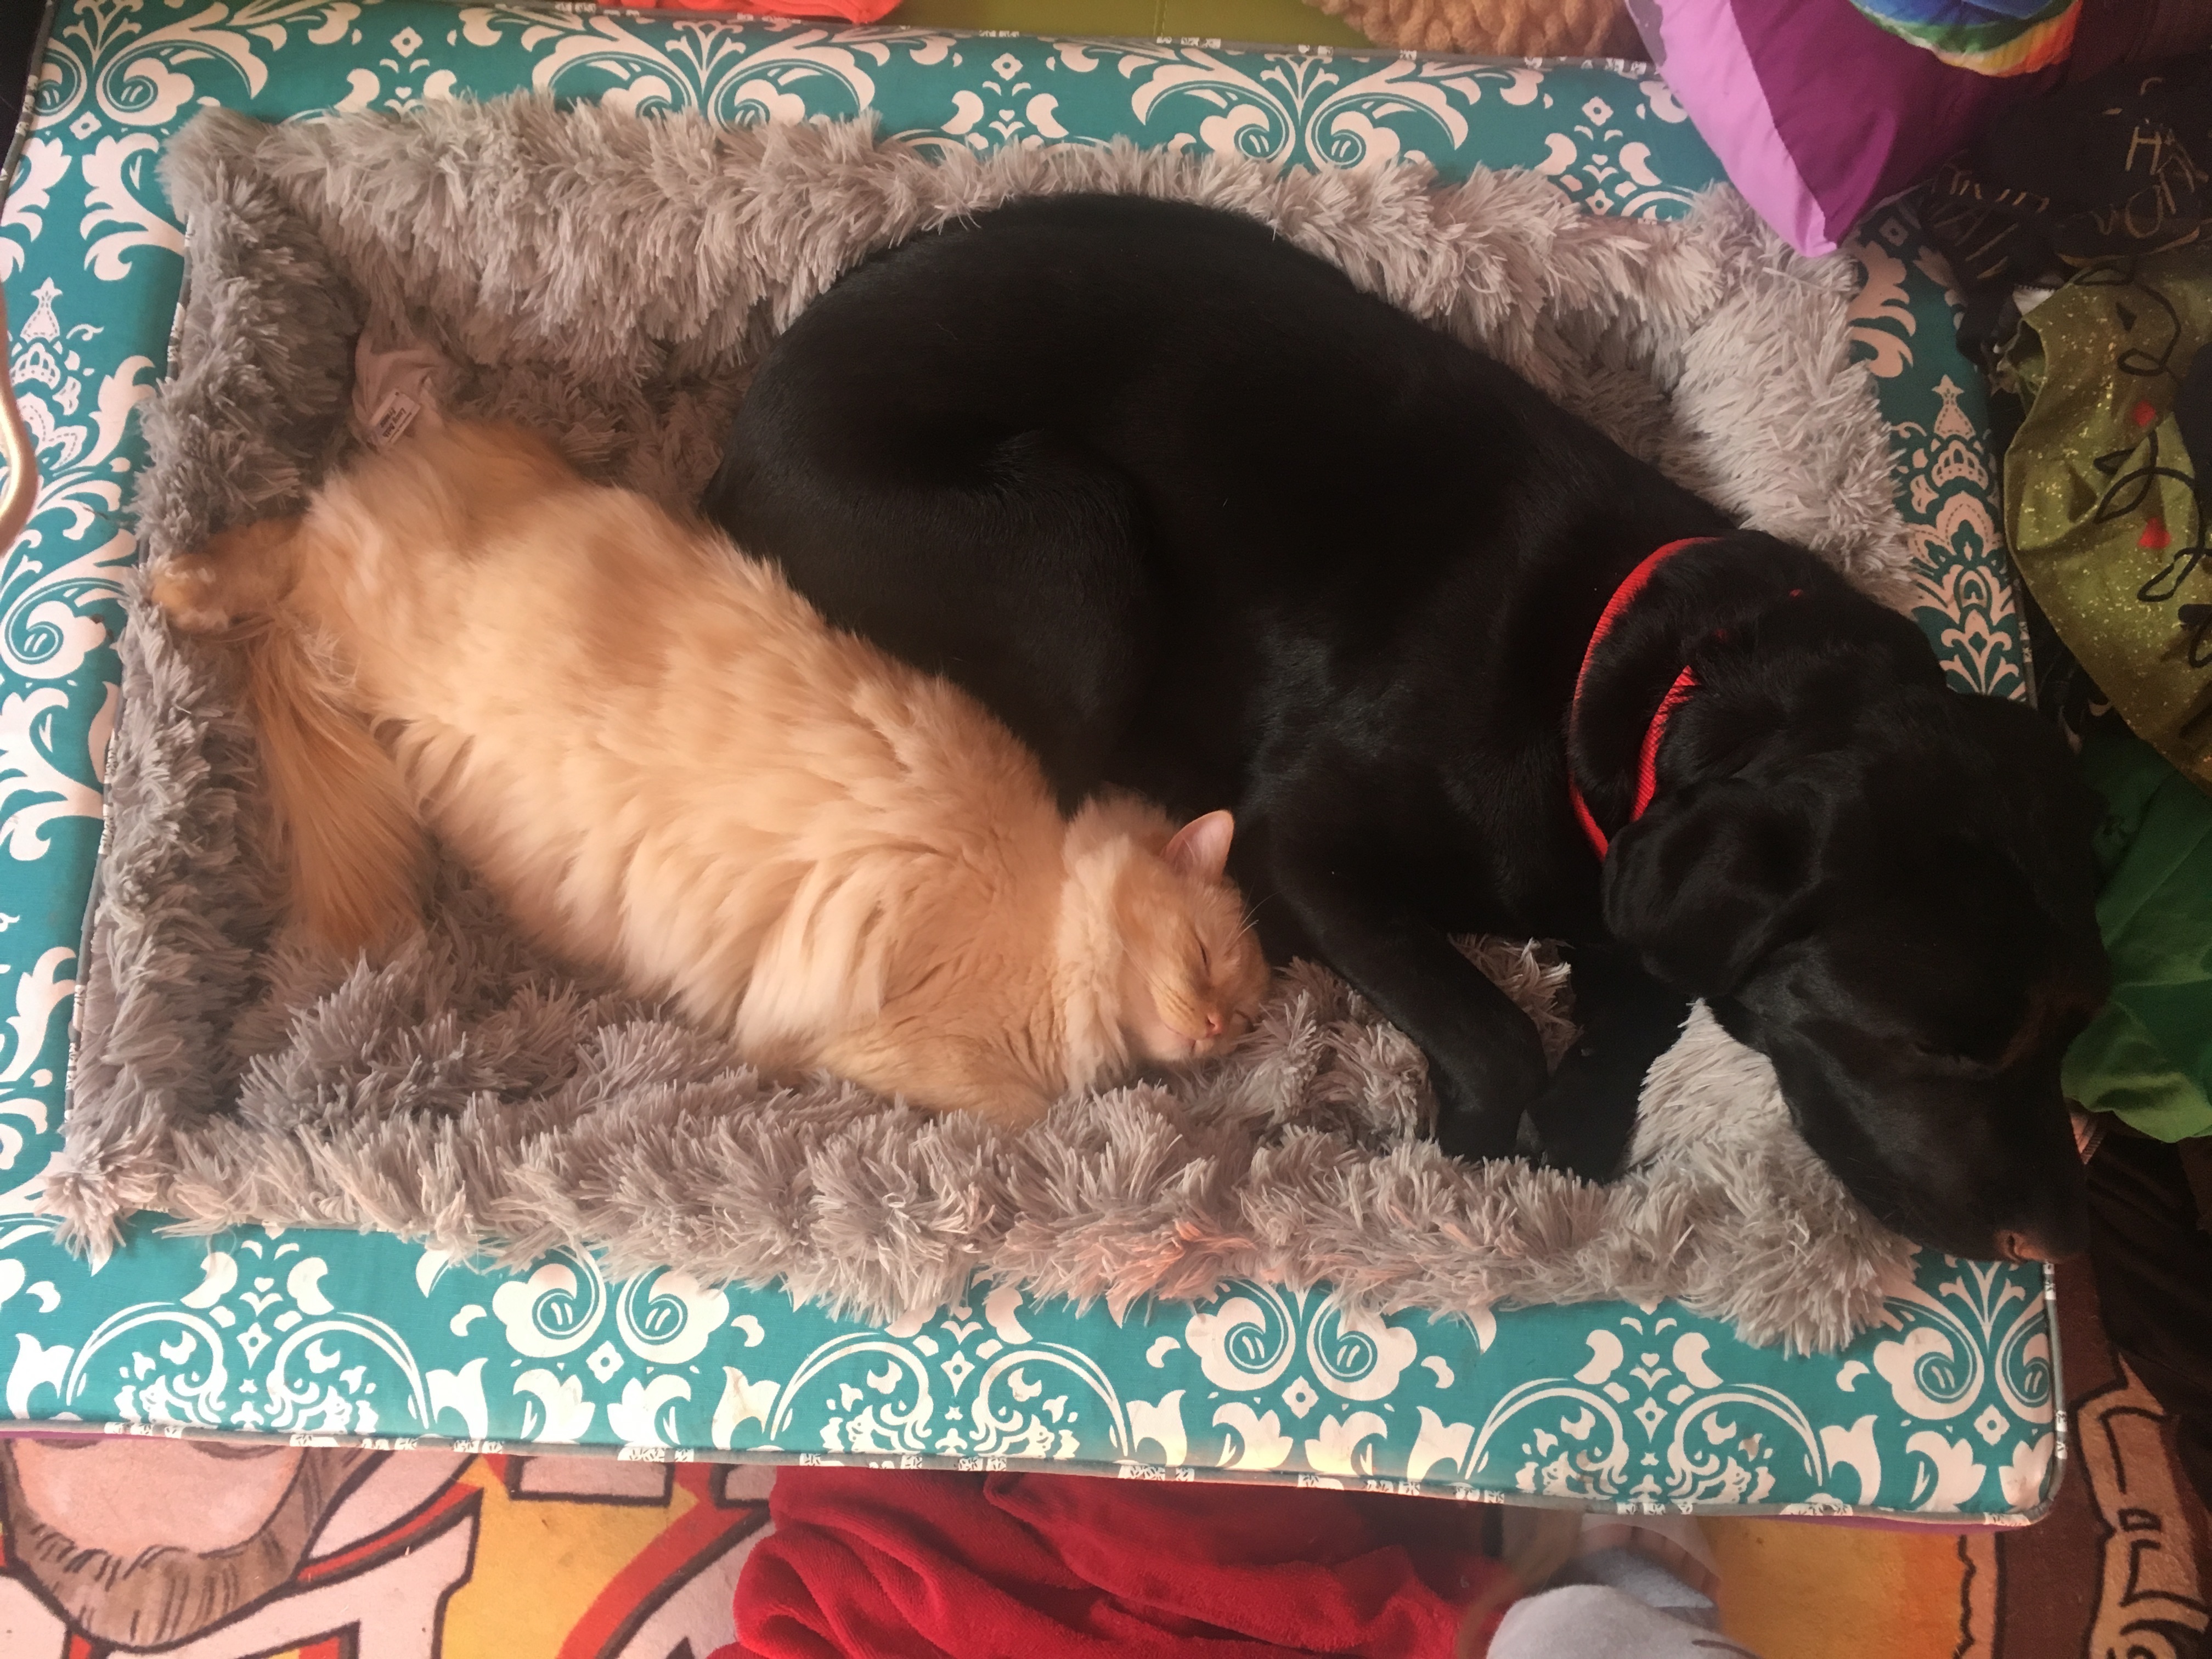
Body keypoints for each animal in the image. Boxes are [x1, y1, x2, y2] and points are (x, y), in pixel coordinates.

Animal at [156, 422, 1274, 1141]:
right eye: (1205, 957)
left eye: (1247, 1012)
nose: (1220, 1027)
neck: (1043, 908)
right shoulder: (886, 1038)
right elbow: (1025, 1108)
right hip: (365, 609)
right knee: (287, 544)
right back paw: (180, 587)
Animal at [703, 191, 2106, 1256]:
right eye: (1934, 1049)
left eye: (2073, 1029)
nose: (2053, 1242)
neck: (1653, 684)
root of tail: (730, 458)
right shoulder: (1303, 839)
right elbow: (1496, 1033)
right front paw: (1452, 1161)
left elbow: (1631, 1020)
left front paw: (1576, 1120)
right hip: (1075, 535)